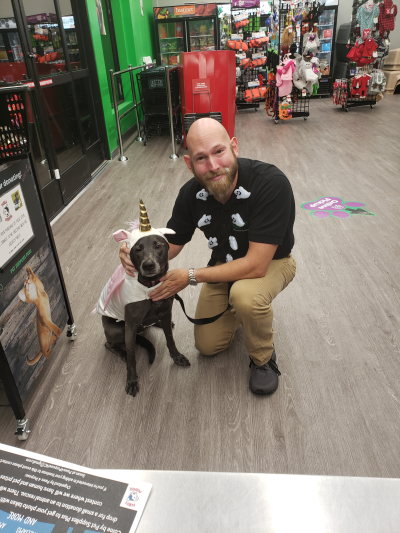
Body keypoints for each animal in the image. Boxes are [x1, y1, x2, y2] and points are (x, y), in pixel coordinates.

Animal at [96, 226, 190, 397]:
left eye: (158, 246)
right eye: (137, 249)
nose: (148, 265)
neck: (151, 285)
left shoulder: (166, 313)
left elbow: (170, 339)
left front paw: (177, 357)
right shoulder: (131, 325)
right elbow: (132, 354)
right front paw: (132, 380)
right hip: (117, 330)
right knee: (109, 344)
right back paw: (122, 353)